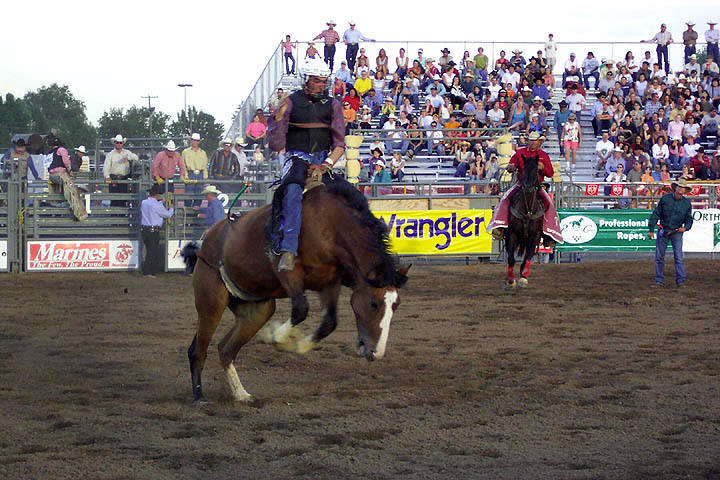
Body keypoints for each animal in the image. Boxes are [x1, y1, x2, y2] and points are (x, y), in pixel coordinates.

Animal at [183, 178, 410, 404]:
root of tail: (206, 241)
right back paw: (199, 396)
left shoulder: (329, 282)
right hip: (211, 302)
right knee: (198, 350)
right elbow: (301, 309)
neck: (328, 225)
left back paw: (240, 394)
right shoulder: (288, 271)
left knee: (225, 349)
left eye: (396, 305)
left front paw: (299, 346)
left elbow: (329, 323)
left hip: (257, 310)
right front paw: (275, 337)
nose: (376, 352)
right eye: (374, 303)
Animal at [504, 154, 544, 288]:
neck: (528, 210)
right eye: (524, 169)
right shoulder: (512, 234)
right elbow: (511, 259)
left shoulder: (535, 236)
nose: (528, 188)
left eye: (536, 170)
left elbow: (528, 256)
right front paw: (511, 281)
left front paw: (523, 278)